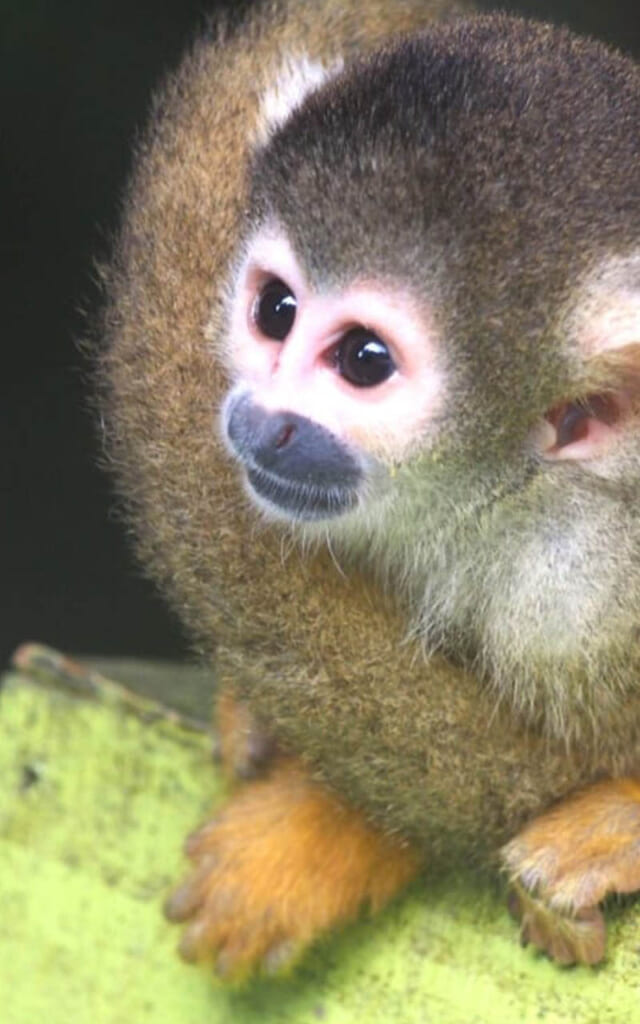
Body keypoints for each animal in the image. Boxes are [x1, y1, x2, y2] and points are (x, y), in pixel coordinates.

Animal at [97, 0, 640, 978]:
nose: (258, 421)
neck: (501, 494)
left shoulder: (579, 592)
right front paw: (321, 829)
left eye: (362, 360)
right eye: (275, 309)